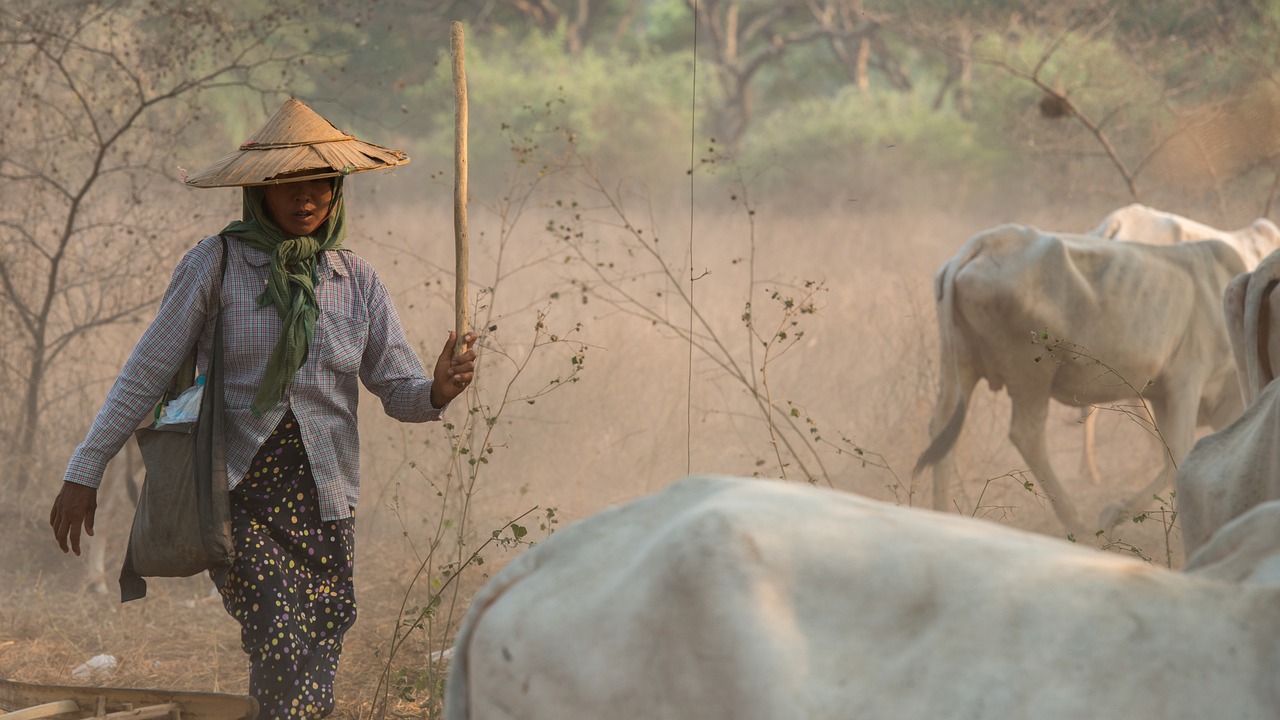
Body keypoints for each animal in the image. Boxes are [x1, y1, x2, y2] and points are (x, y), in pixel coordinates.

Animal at [916, 221, 1244, 530]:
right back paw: (1076, 521)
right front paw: (1115, 512)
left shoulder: (1164, 396)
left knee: (942, 429)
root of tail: (987, 241)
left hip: (958, 365)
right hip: (1030, 371)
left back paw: (941, 512)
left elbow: (1171, 454)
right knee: (1027, 434)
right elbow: (1181, 451)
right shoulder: (1186, 380)